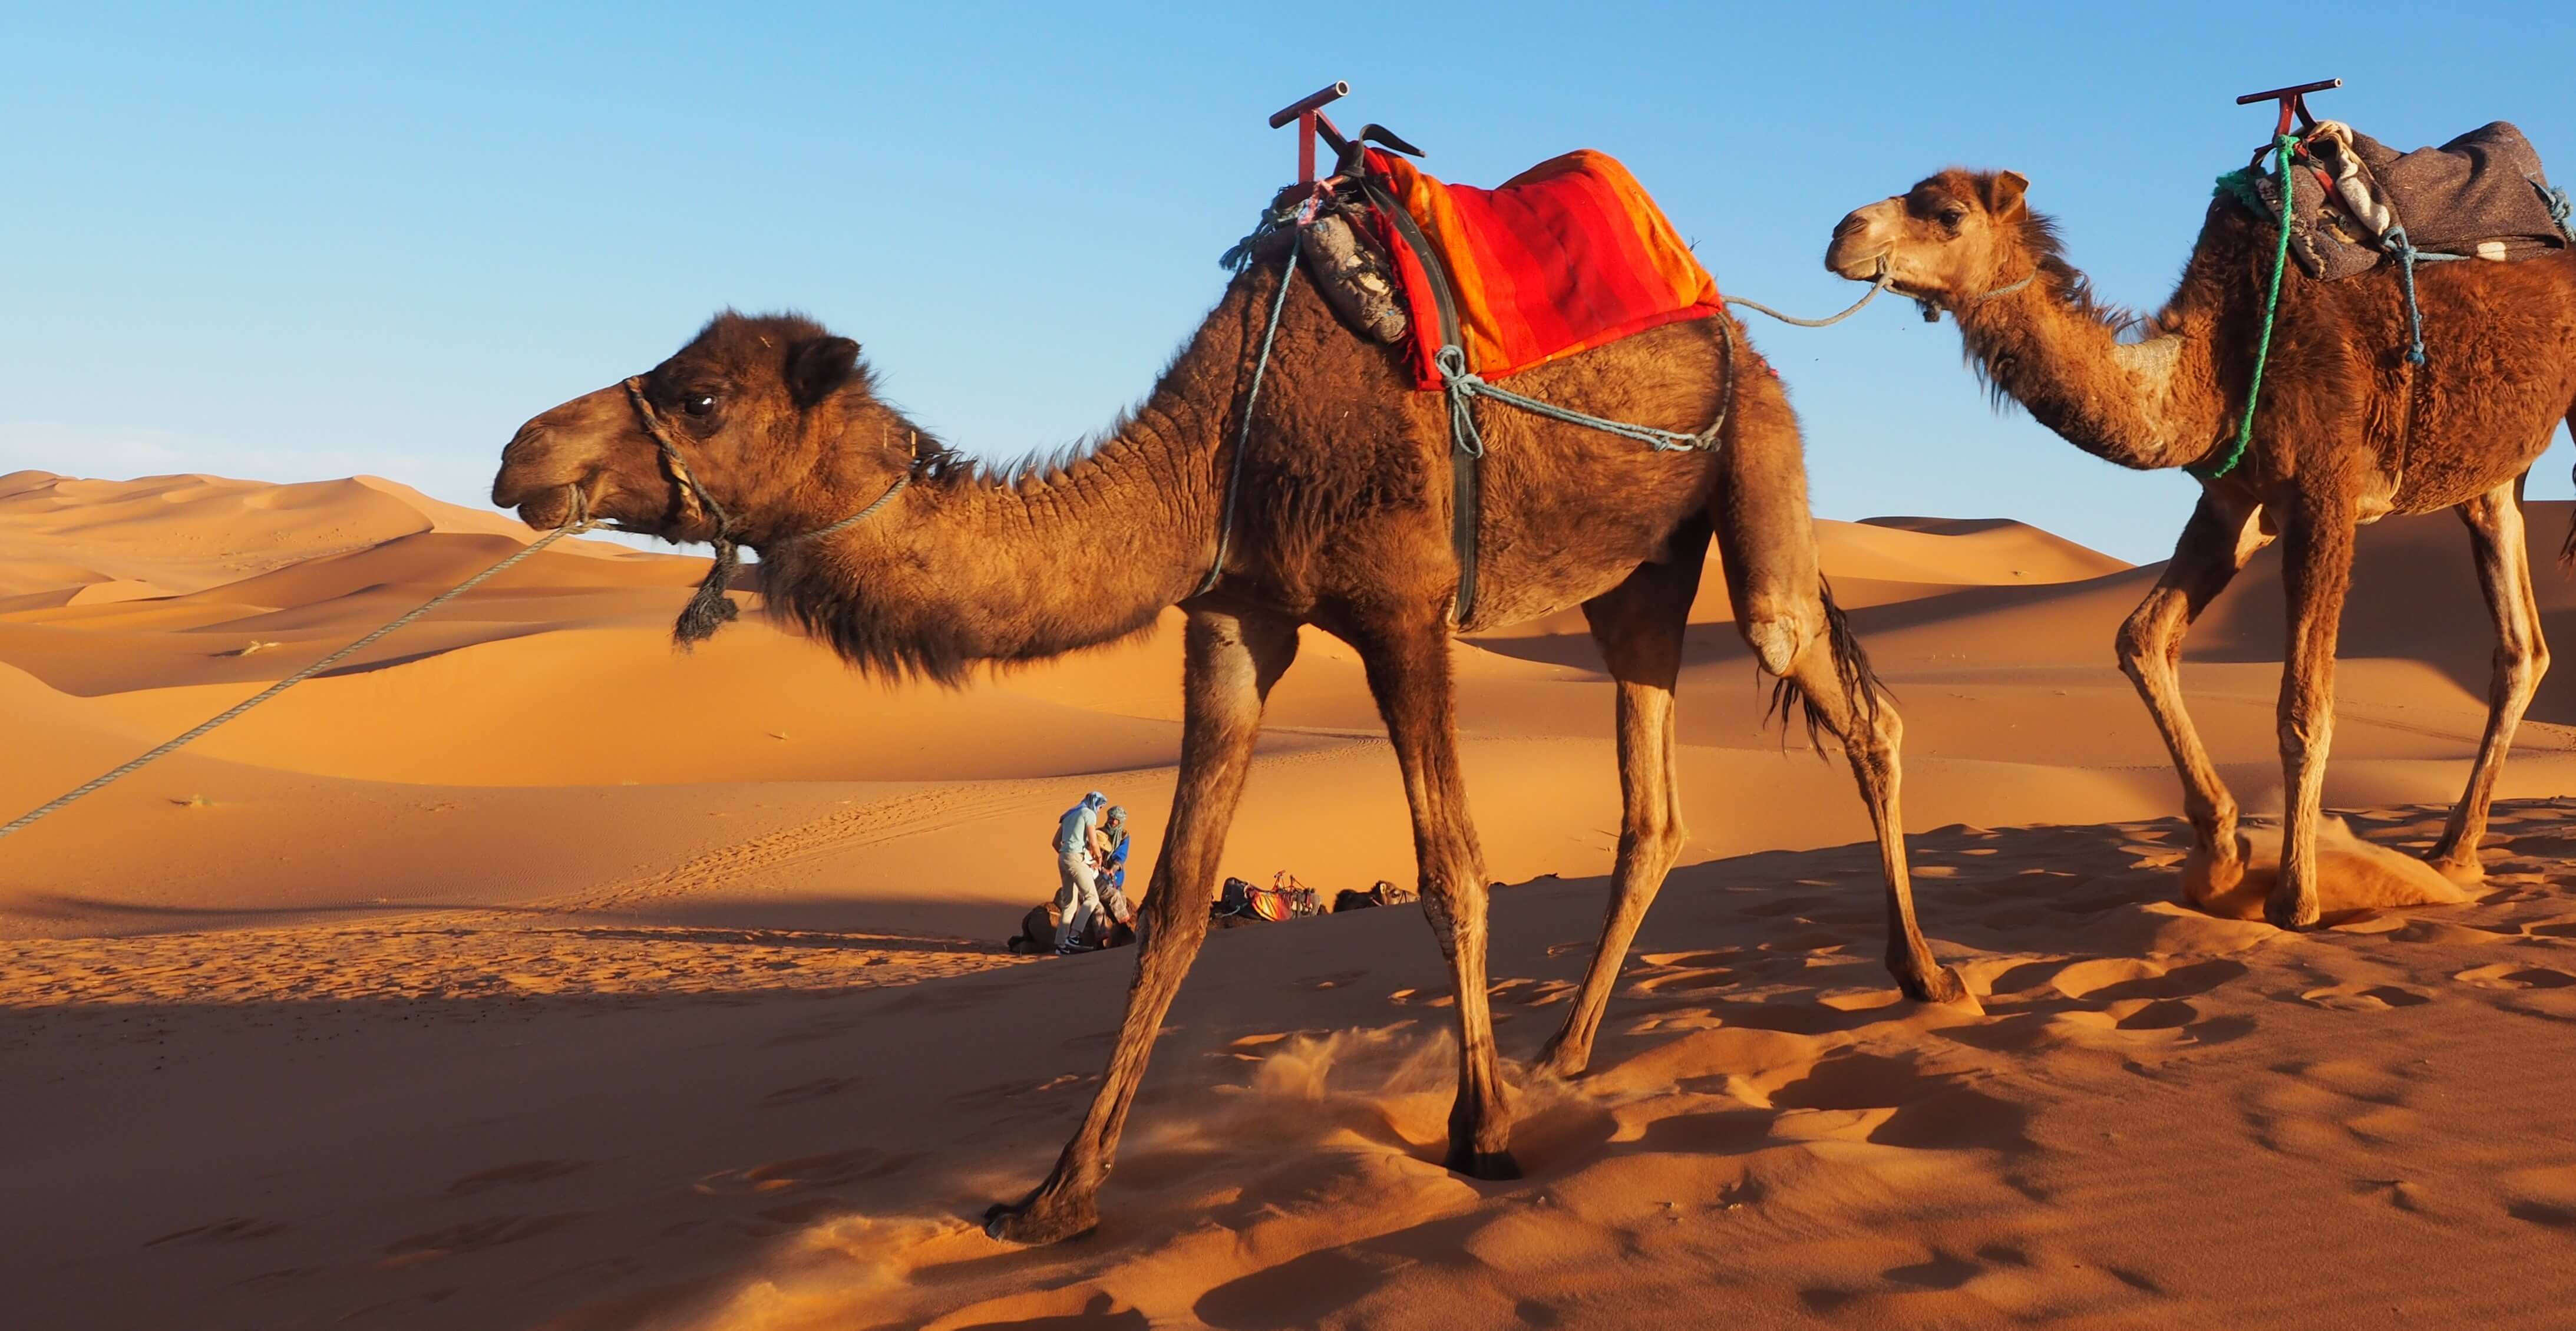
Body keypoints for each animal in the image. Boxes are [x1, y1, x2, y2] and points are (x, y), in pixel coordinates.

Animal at [487, 235, 1947, 1236]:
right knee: (1654, 805)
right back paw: (1569, 1051)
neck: (1209, 461)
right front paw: (1056, 1191)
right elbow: (1180, 897)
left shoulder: (1402, 609)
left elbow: (1450, 866)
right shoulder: (1235, 621)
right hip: (1631, 576)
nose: (519, 453)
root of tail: (1740, 331)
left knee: (1837, 688)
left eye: (702, 398)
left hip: (1755, 465)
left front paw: (1476, 1132)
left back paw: (1921, 974)